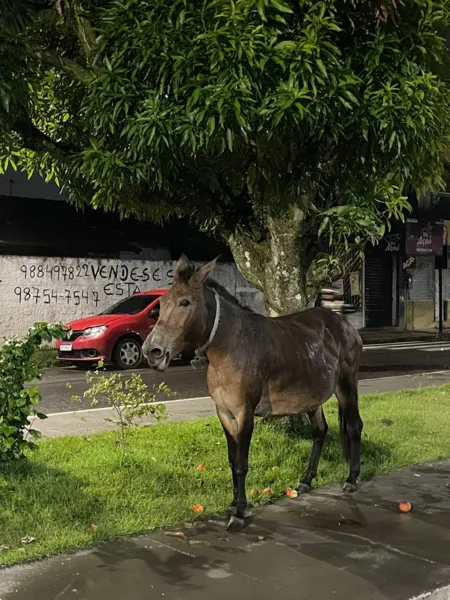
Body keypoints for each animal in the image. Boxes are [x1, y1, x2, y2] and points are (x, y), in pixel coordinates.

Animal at [144, 255, 366, 528]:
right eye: (161, 303)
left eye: (185, 302)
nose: (152, 351)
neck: (229, 346)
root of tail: (345, 324)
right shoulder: (224, 413)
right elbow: (232, 460)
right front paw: (233, 503)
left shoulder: (244, 412)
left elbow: (241, 462)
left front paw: (239, 511)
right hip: (312, 395)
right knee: (319, 430)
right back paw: (306, 480)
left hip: (346, 383)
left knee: (354, 425)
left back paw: (352, 479)